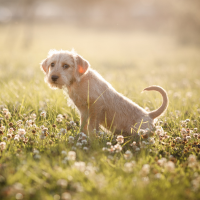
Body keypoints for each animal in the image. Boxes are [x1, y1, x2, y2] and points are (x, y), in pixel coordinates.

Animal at [41, 49, 169, 136]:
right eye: (52, 64)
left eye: (66, 66)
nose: (53, 77)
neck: (80, 80)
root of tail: (149, 114)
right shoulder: (83, 110)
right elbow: (83, 124)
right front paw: (81, 136)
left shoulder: (96, 105)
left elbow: (92, 125)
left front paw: (92, 137)